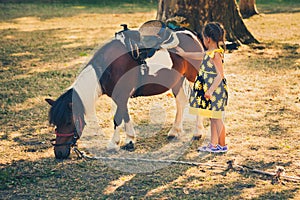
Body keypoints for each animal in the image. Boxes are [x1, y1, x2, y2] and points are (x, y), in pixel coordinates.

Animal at [45, 19, 205, 159]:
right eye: (55, 123)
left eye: (68, 122)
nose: (59, 153)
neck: (108, 68)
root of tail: (191, 34)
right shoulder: (120, 97)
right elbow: (125, 115)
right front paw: (130, 140)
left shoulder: (122, 95)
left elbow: (117, 119)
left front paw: (114, 144)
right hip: (177, 81)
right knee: (181, 102)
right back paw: (174, 131)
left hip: (193, 78)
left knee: (197, 101)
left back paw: (197, 132)